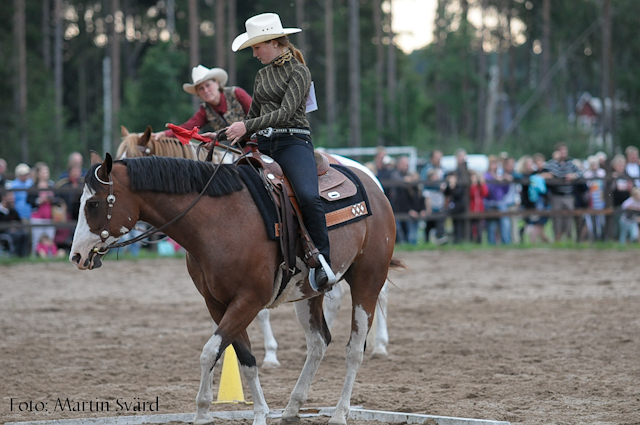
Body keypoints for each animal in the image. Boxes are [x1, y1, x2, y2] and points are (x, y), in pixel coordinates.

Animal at [70, 152, 400, 424]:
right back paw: (292, 408)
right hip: (309, 295)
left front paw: (206, 413)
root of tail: (373, 185)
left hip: (368, 281)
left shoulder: (248, 301)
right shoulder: (218, 303)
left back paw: (341, 413)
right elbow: (244, 357)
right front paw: (254, 414)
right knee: (318, 342)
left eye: (93, 204)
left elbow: (210, 351)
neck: (220, 220)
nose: (76, 256)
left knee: (354, 349)